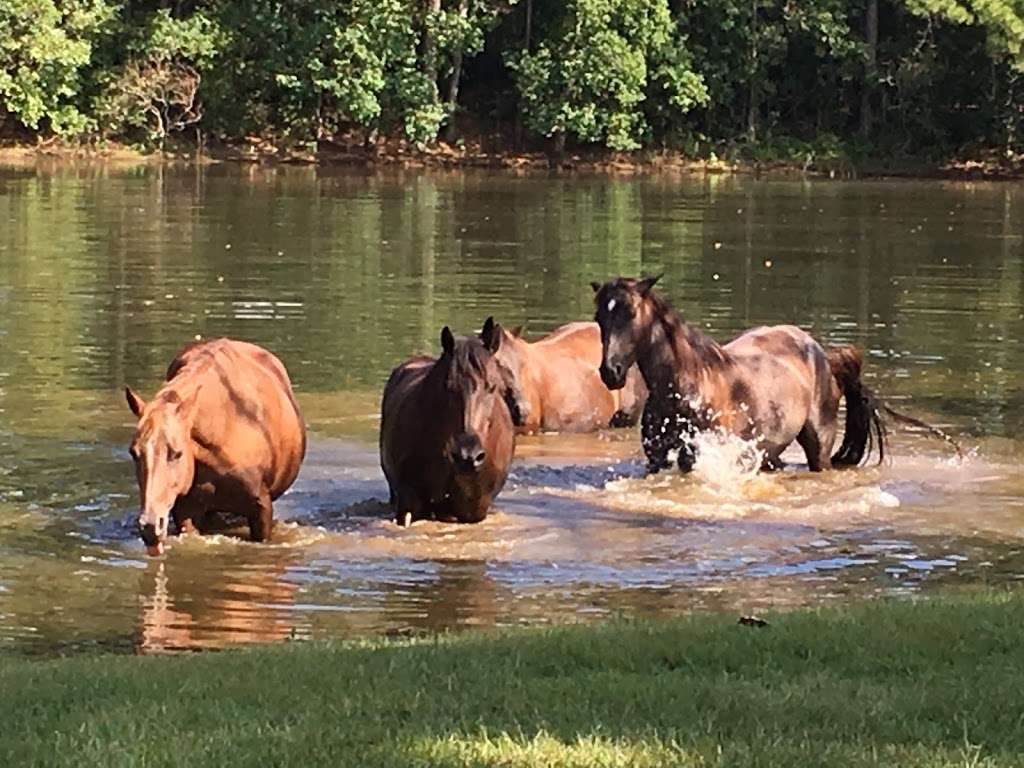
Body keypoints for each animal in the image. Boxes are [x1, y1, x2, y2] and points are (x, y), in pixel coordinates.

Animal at [593, 278, 888, 475]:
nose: (611, 371)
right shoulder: (657, 460)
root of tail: (821, 354)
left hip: (819, 450)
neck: (686, 385)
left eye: (631, 313)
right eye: (599, 318)